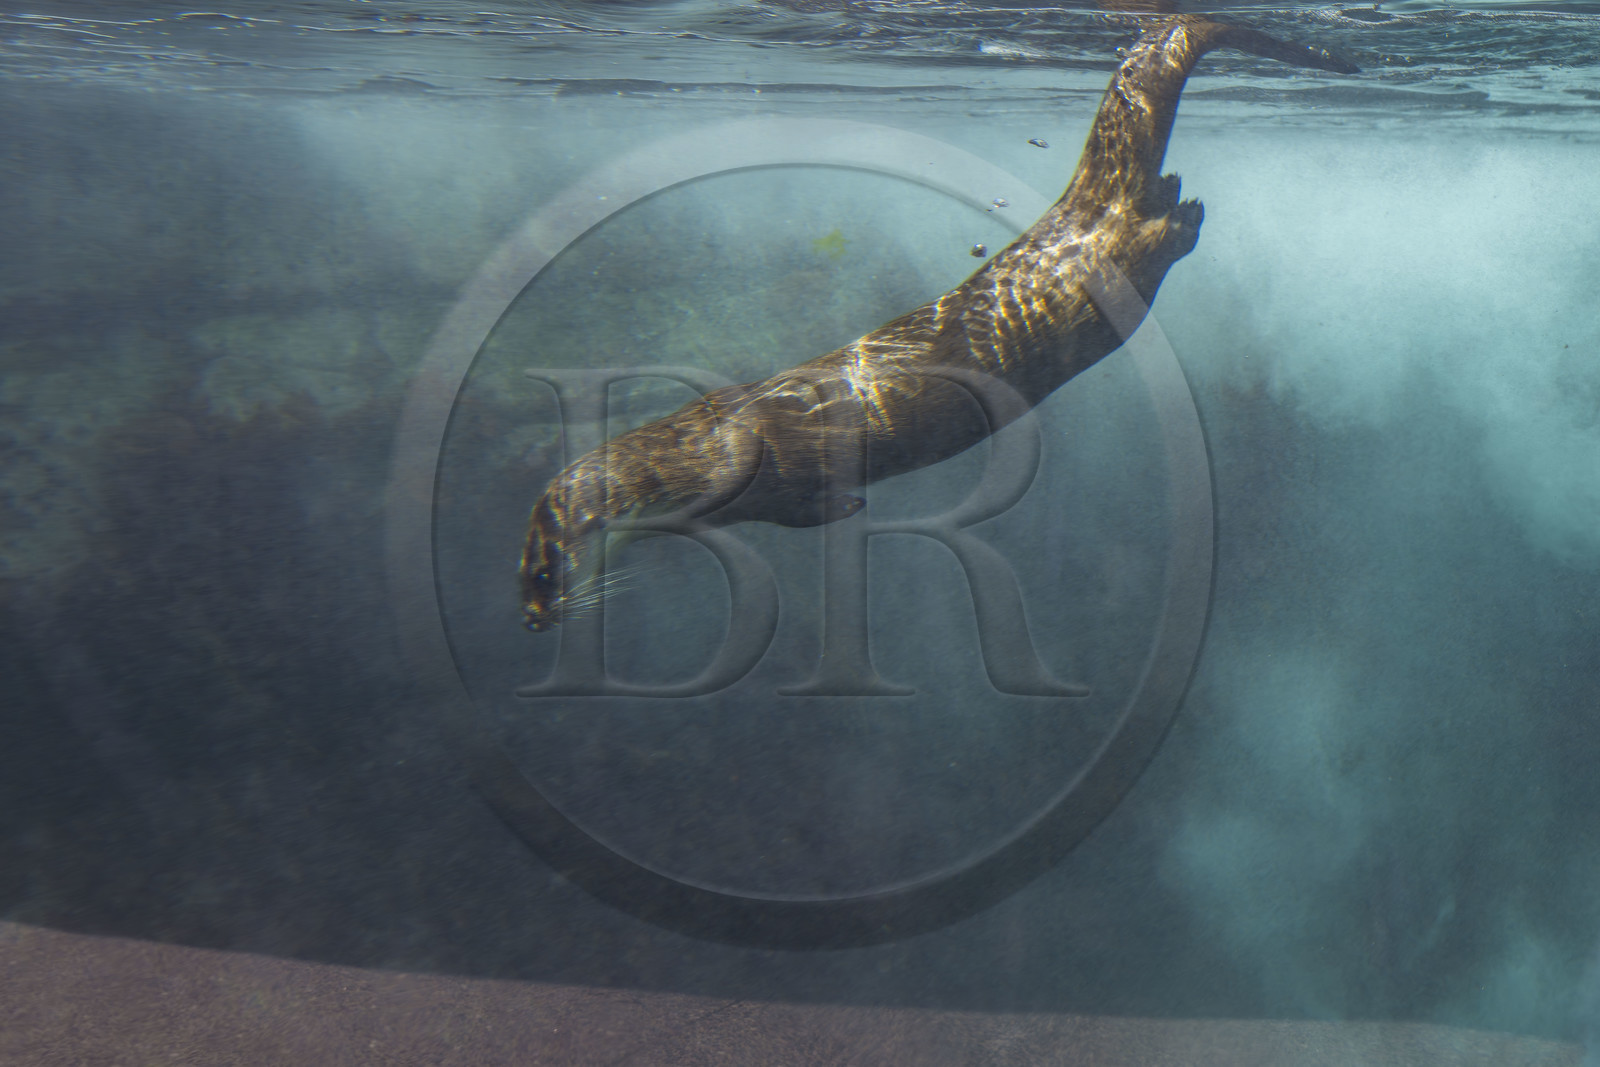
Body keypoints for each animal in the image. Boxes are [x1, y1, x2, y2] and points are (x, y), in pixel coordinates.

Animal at [519, 16, 1356, 631]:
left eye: (543, 570)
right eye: (521, 574)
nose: (530, 618)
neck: (693, 454)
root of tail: (1069, 211)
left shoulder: (769, 474)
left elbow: (808, 507)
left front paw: (852, 507)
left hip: (1097, 268)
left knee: (1142, 238)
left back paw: (1183, 218)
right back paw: (1179, 192)